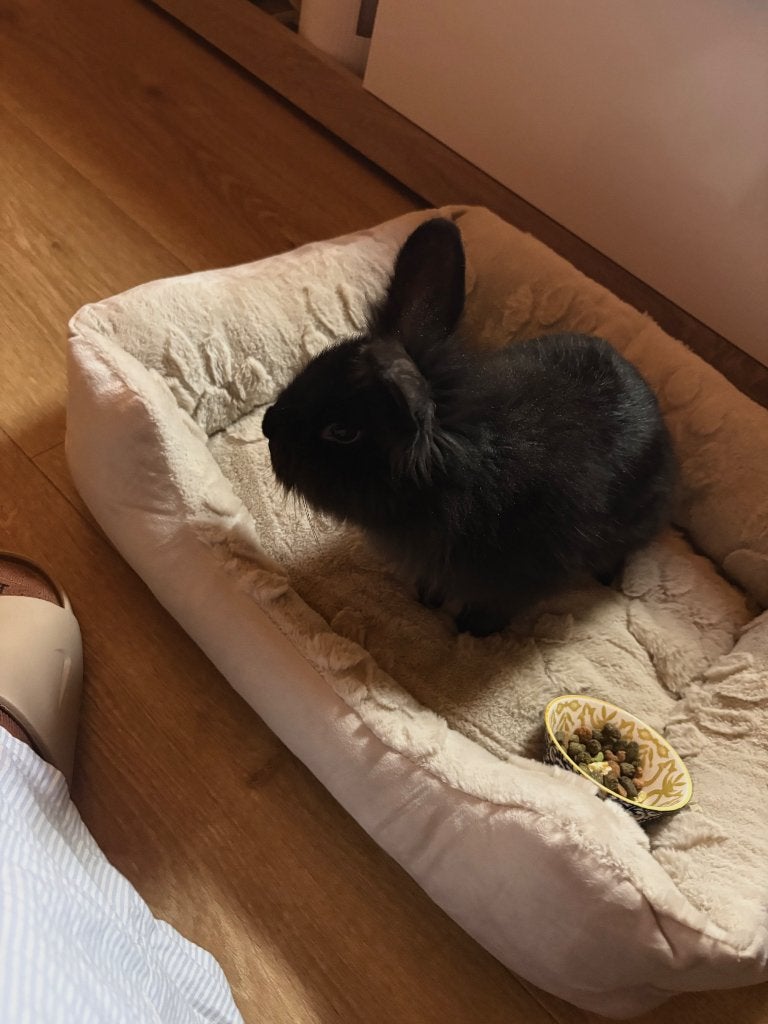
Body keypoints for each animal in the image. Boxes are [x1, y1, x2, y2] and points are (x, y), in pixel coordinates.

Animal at [262, 217, 677, 636]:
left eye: (342, 432)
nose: (267, 425)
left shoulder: (518, 582)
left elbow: (493, 608)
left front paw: (471, 631)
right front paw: (427, 598)